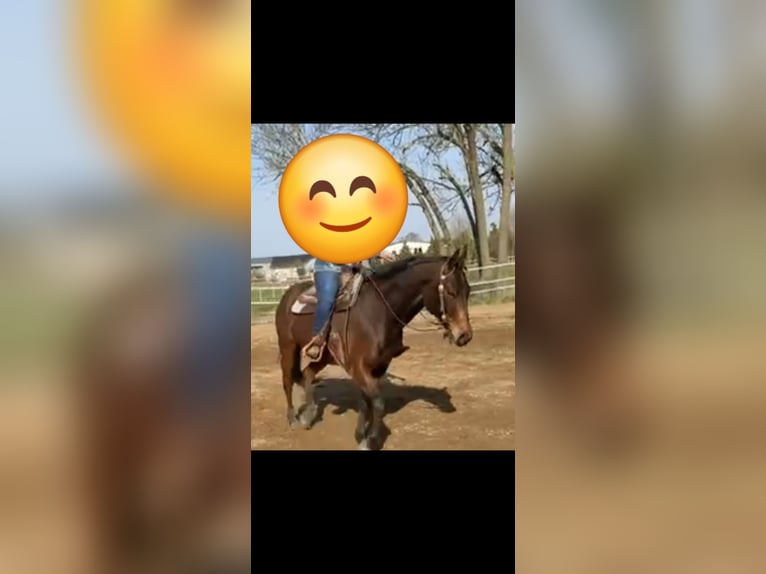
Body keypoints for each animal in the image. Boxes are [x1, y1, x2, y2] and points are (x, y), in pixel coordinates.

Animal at [274, 246, 474, 450]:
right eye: (450, 292)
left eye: (468, 291)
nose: (464, 335)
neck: (379, 311)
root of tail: (289, 294)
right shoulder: (358, 367)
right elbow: (377, 402)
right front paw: (369, 440)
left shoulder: (378, 367)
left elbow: (365, 401)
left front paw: (362, 434)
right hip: (288, 346)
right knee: (287, 380)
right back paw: (292, 418)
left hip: (324, 355)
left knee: (307, 374)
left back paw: (308, 416)